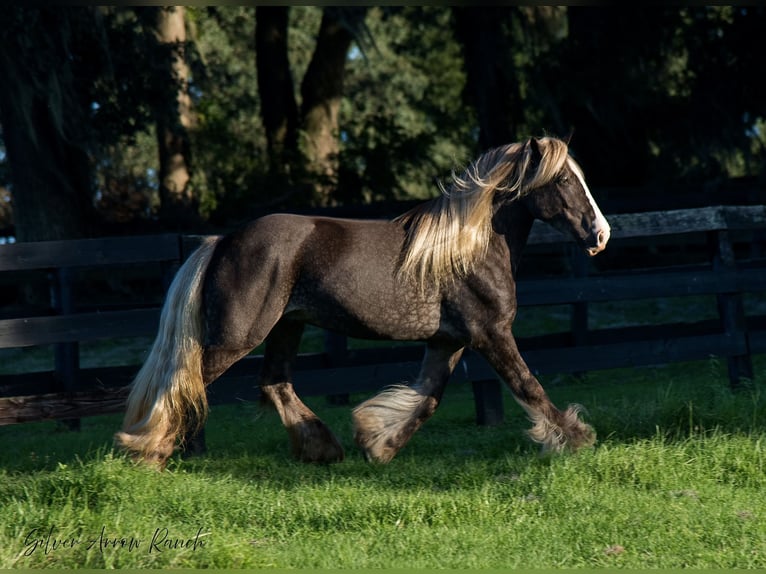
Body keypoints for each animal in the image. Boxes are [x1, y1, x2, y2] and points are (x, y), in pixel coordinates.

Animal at [117, 137, 612, 470]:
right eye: (563, 179)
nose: (601, 235)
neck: (467, 249)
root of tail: (222, 240)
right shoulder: (490, 333)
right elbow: (528, 385)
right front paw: (575, 438)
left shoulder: (448, 341)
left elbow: (428, 398)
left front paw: (378, 444)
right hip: (237, 337)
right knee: (183, 383)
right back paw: (149, 454)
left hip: (286, 327)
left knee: (274, 383)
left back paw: (322, 448)